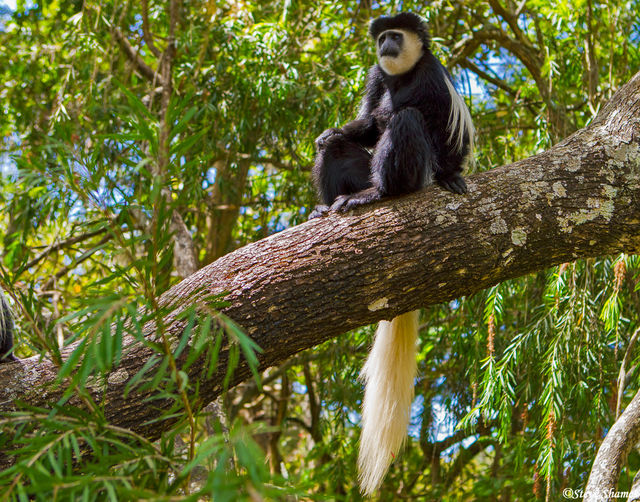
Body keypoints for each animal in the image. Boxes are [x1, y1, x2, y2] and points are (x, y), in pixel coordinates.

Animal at [309, 13, 475, 495]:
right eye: (381, 38)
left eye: (395, 35)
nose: (385, 43)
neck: (402, 75)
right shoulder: (375, 76)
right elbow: (365, 121)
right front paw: (333, 130)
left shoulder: (433, 78)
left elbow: (431, 126)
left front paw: (453, 176)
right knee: (337, 147)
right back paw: (331, 204)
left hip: (416, 171)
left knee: (406, 119)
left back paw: (381, 194)